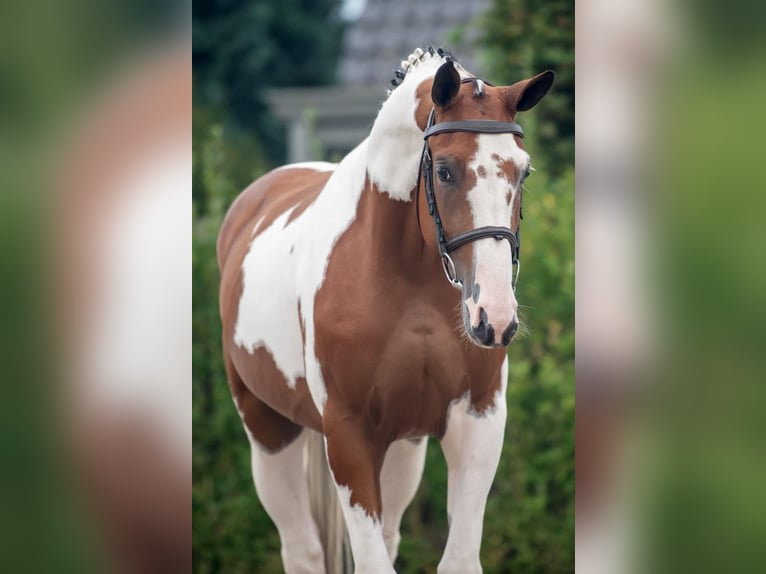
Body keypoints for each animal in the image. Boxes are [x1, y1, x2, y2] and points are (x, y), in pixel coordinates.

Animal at [219, 47, 556, 572]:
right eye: (444, 170)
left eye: (522, 172)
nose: (495, 319)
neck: (407, 281)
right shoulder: (348, 435)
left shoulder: (477, 418)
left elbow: (458, 559)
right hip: (268, 430)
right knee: (302, 549)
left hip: (404, 444)